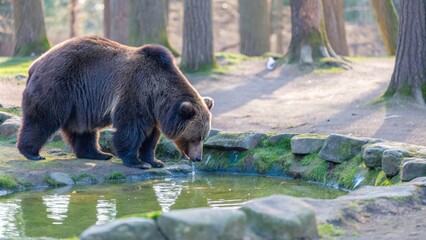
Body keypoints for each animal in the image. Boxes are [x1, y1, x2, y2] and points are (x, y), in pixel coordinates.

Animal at [17, 36, 213, 169]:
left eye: (204, 137)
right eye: (195, 137)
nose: (198, 158)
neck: (157, 94)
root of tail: (35, 64)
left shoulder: (153, 112)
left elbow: (151, 137)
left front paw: (155, 161)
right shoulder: (136, 91)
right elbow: (130, 128)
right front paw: (137, 162)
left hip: (80, 103)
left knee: (83, 129)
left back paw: (98, 154)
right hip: (59, 84)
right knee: (43, 118)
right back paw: (32, 153)